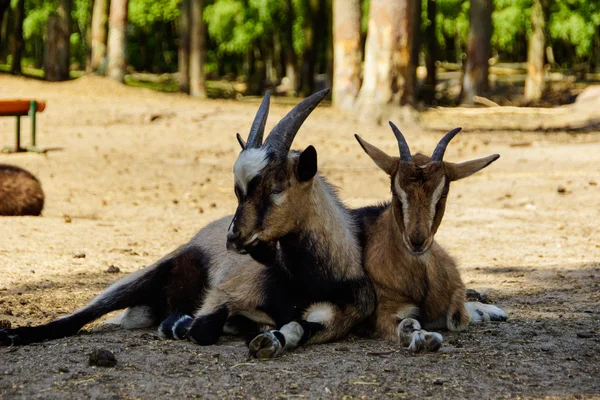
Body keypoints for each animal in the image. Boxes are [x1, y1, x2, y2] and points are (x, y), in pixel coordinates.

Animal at [1, 90, 376, 360]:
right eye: (238, 190)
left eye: (276, 188)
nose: (234, 238)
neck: (306, 279)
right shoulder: (225, 293)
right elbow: (202, 328)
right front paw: (180, 325)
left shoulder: (335, 318)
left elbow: (294, 328)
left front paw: (266, 339)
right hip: (148, 272)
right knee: (79, 316)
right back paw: (13, 335)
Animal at [354, 123, 508, 352]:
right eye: (395, 191)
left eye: (443, 193)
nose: (417, 240)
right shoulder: (385, 309)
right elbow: (407, 324)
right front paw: (424, 338)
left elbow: (456, 318)